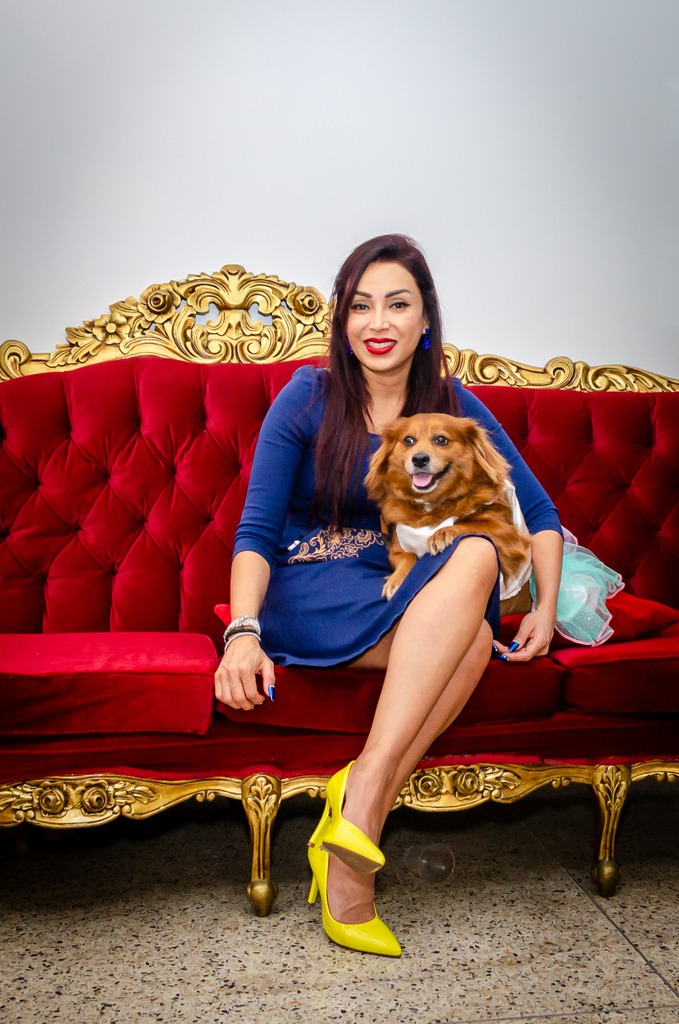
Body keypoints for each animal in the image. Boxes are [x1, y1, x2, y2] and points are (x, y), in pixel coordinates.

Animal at [365, 413, 531, 599]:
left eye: (441, 440)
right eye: (408, 440)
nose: (419, 459)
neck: (431, 504)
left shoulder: (509, 536)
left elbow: (472, 525)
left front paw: (442, 533)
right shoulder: (398, 548)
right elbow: (407, 558)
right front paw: (398, 580)